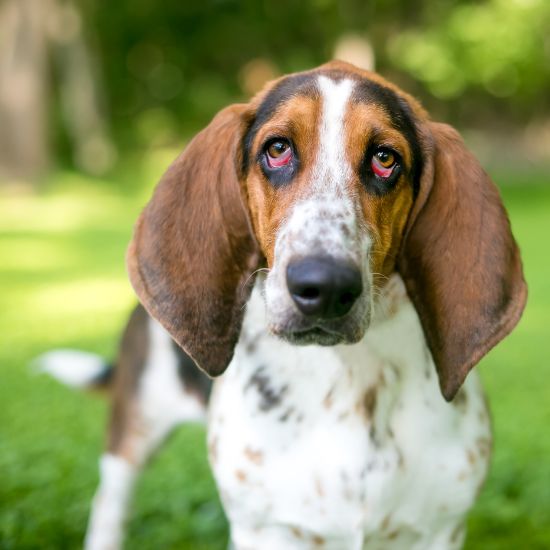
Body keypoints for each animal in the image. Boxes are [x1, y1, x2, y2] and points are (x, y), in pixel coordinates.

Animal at [41, 61, 528, 550]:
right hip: (134, 429)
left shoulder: (440, 529)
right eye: (277, 149)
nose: (325, 285)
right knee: (109, 505)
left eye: (385, 159)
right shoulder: (265, 529)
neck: (350, 375)